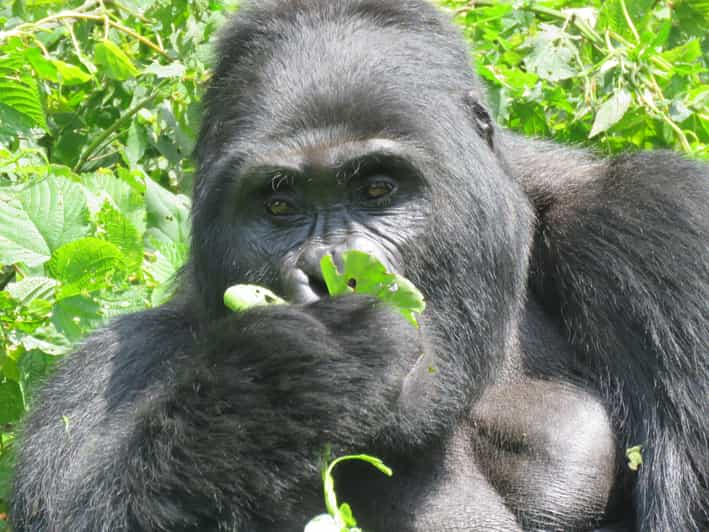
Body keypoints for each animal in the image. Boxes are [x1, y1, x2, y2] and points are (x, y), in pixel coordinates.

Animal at [8, 1, 704, 532]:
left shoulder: (662, 227)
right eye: (280, 204)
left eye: (376, 189)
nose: (329, 271)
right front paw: (290, 379)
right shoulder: (112, 363)